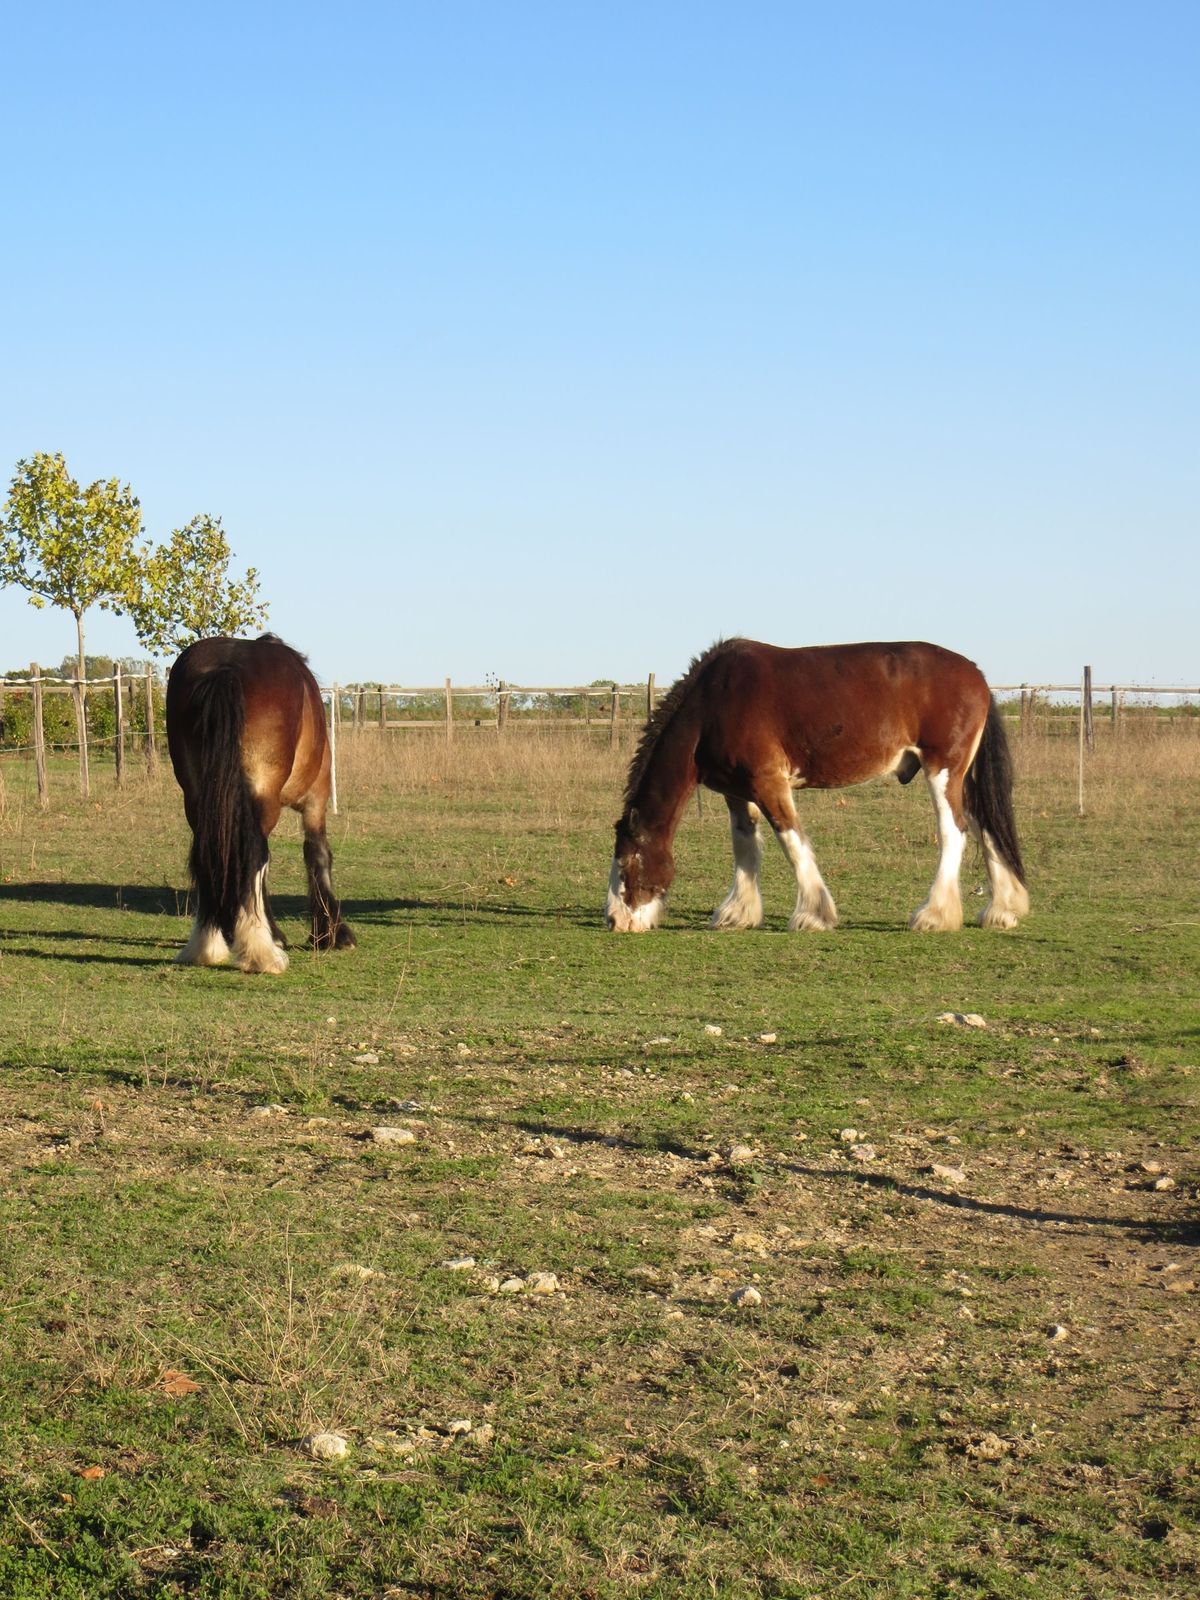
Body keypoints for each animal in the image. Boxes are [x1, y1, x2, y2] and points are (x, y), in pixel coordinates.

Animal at [165, 633, 355, 972]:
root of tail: (226, 668)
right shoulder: (316, 799)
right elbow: (317, 853)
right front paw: (331, 933)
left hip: (199, 797)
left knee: (208, 854)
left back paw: (206, 946)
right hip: (264, 795)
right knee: (255, 855)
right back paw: (261, 953)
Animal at [607, 638, 1028, 935]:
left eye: (626, 865)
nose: (615, 921)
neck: (714, 703)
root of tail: (977, 675)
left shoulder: (768, 783)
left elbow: (792, 842)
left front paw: (813, 915)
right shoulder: (737, 793)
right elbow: (745, 847)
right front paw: (738, 913)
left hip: (942, 770)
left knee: (954, 831)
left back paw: (935, 915)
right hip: (964, 777)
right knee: (985, 827)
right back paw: (1002, 909)